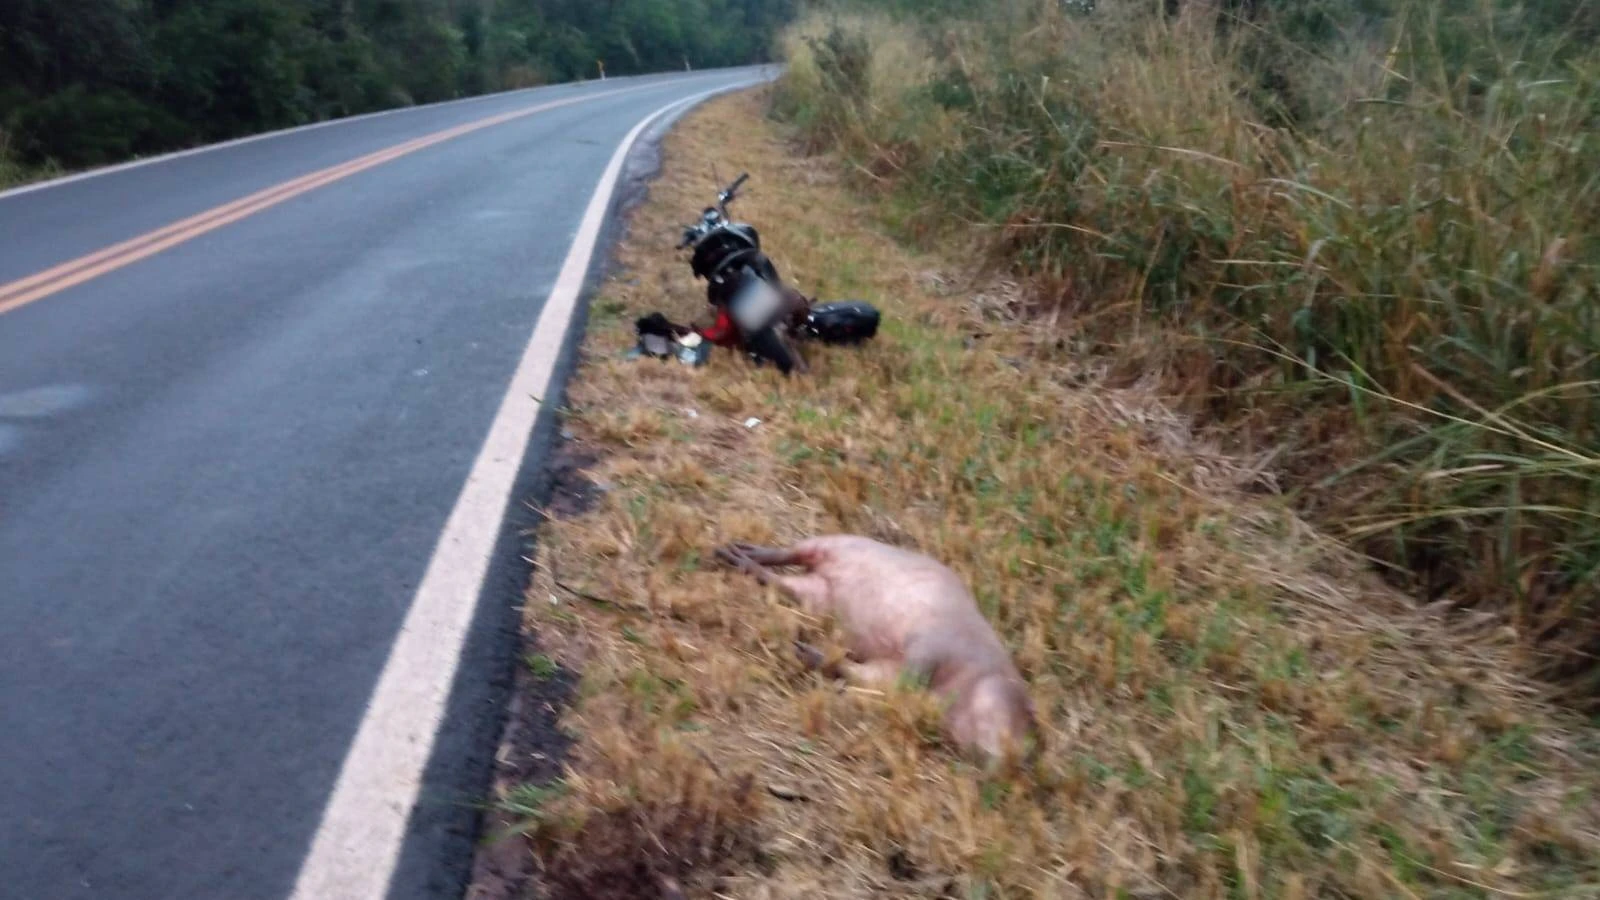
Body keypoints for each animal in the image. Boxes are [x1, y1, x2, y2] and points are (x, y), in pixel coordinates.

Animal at [714, 535, 1040, 767]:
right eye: (1023, 721)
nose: (1018, 763)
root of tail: (823, 574)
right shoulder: (933, 643)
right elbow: (911, 672)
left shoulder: (885, 669)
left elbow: (866, 675)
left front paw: (806, 653)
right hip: (837, 541)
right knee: (791, 551)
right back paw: (731, 550)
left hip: (814, 594)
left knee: (781, 580)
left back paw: (738, 557)